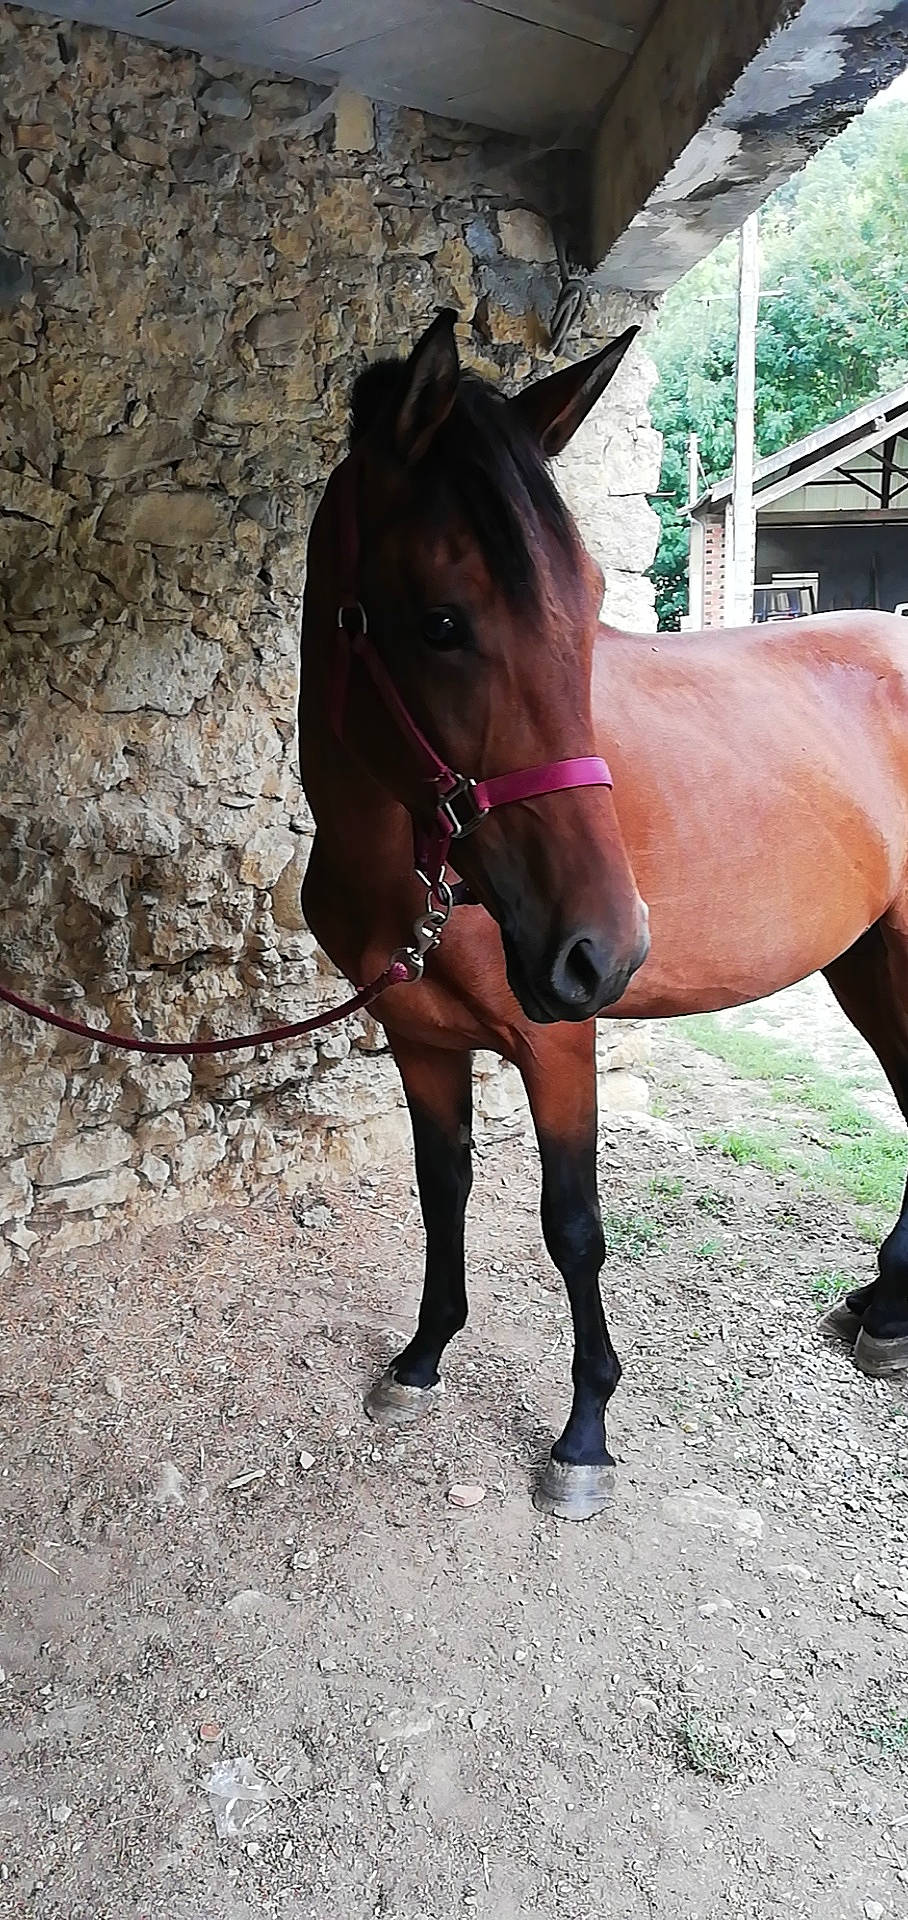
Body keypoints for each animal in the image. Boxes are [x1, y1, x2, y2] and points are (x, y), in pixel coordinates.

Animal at [298, 309, 908, 1521]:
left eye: (585, 607)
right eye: (441, 621)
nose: (607, 948)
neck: (418, 867)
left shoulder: (559, 1041)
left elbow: (572, 1230)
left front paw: (585, 1432)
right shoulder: (420, 1039)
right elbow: (443, 1191)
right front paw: (422, 1358)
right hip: (868, 960)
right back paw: (882, 1309)